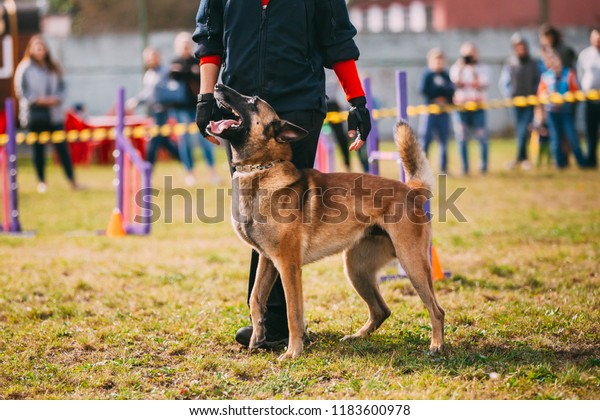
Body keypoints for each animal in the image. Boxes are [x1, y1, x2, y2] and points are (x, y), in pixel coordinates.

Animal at [209, 83, 442, 360]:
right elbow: (256, 298)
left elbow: (293, 313)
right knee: (381, 310)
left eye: (253, 100)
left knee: (436, 310)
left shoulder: (288, 266)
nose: (218, 86)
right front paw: (257, 338)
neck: (261, 169)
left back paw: (436, 345)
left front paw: (293, 352)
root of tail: (412, 190)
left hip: (412, 264)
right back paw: (356, 337)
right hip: (356, 269)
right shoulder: (267, 260)